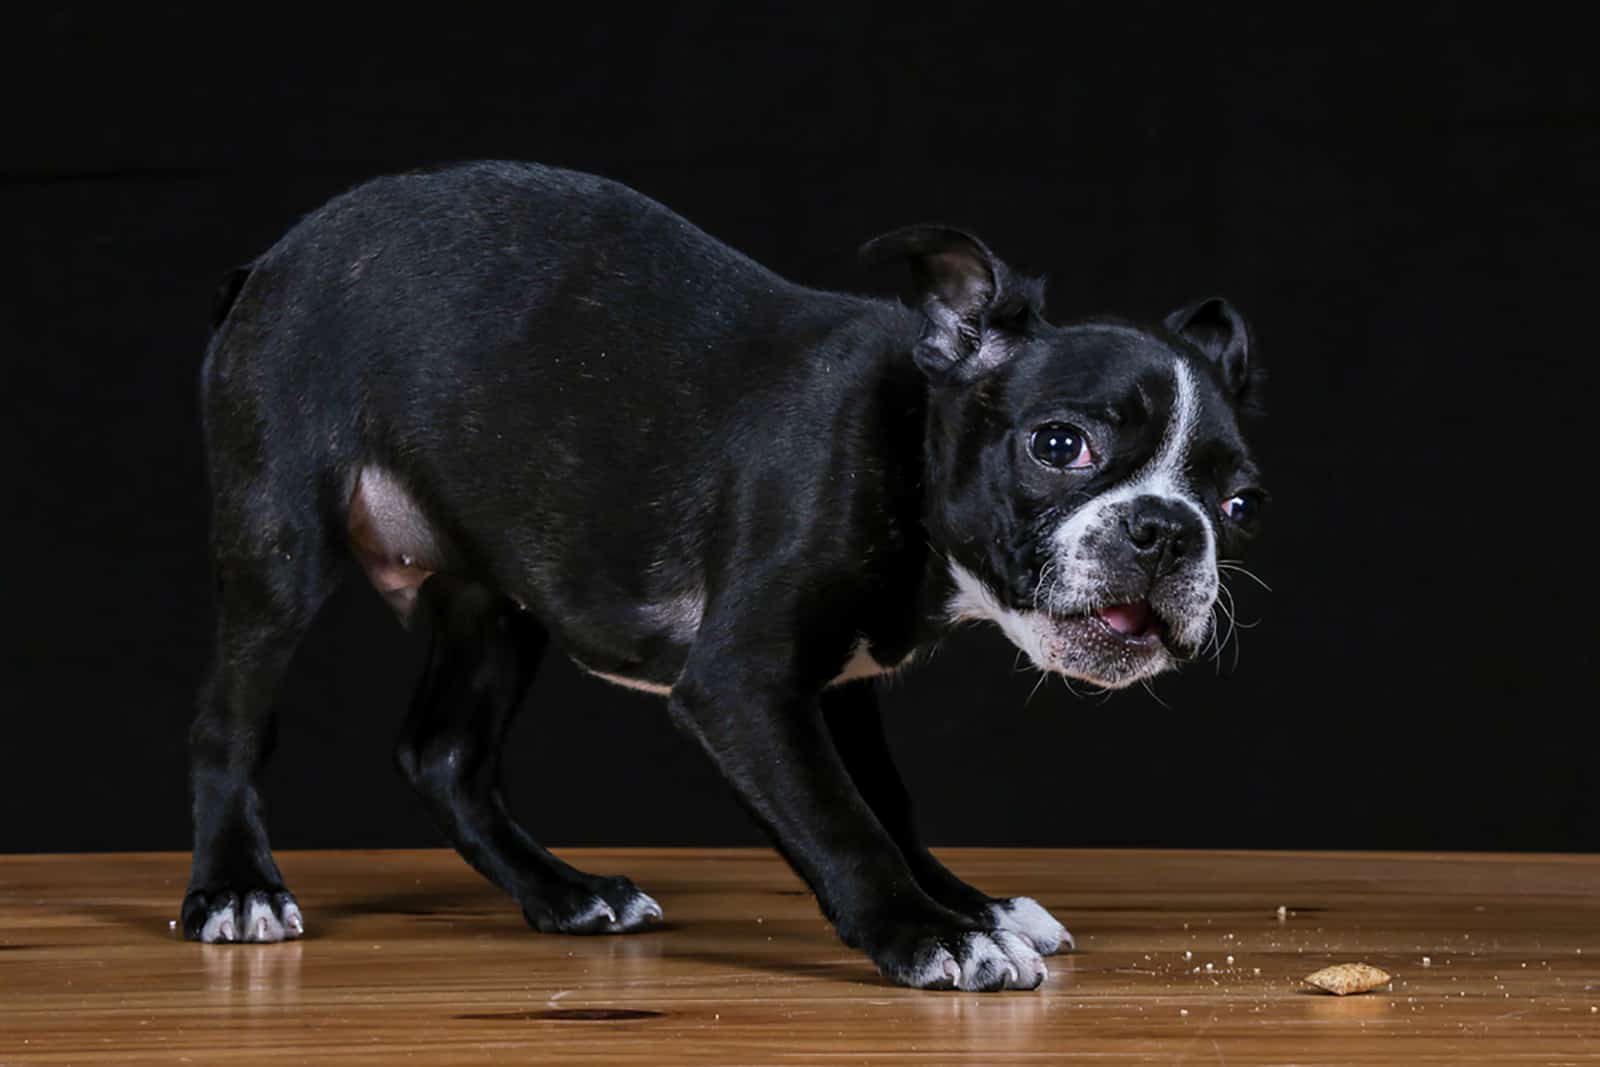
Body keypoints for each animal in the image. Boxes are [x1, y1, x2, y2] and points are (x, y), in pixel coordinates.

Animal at [184, 160, 1260, 991]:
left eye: (1240, 503)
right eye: (1060, 443)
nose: (1167, 530)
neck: (912, 444)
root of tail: (266, 265)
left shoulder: (837, 687)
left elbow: (887, 805)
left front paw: (970, 904)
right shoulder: (743, 685)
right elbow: (841, 820)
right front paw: (934, 935)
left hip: (498, 598)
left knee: (443, 753)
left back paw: (565, 893)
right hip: (280, 552)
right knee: (229, 725)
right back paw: (236, 887)